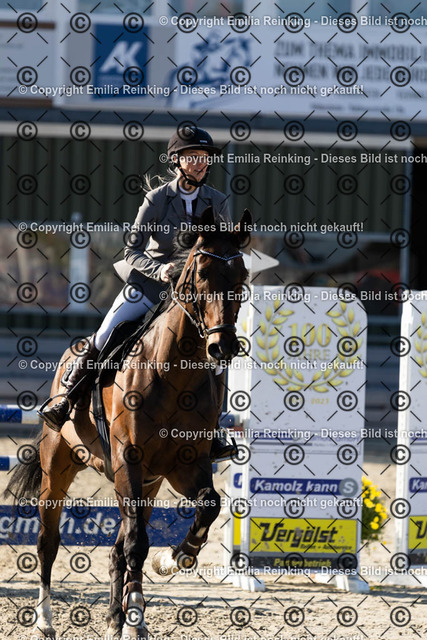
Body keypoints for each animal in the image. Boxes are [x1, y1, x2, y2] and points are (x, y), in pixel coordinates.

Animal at [6, 206, 252, 640]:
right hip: (61, 464)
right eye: (202, 272)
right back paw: (46, 619)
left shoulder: (185, 466)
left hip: (147, 485)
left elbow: (208, 505)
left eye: (242, 275)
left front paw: (173, 560)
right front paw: (138, 609)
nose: (222, 346)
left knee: (119, 548)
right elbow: (137, 543)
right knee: (49, 541)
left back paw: (117, 620)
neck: (175, 375)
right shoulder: (128, 460)